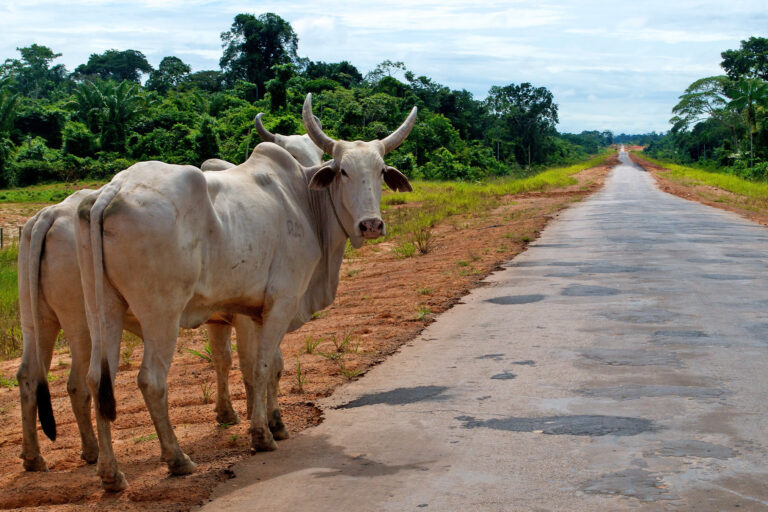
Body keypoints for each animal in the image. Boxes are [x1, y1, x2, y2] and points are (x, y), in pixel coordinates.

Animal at [75, 94, 416, 490]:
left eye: (380, 171)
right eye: (342, 170)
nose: (371, 225)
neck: (305, 203)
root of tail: (113, 188)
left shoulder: (253, 309)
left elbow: (269, 367)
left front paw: (277, 423)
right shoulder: (283, 301)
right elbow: (263, 365)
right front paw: (261, 435)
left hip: (102, 310)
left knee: (97, 380)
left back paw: (111, 474)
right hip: (161, 314)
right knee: (151, 380)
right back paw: (177, 459)